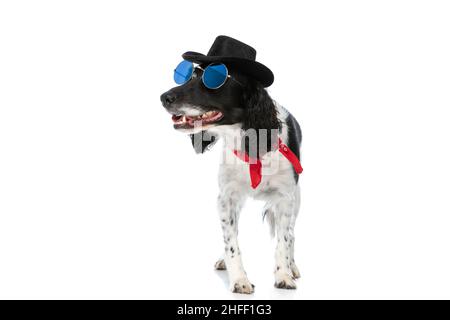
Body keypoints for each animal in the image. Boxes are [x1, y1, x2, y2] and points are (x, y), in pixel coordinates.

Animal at [159, 36, 302, 294]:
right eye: (189, 75)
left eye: (214, 79)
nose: (164, 97)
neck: (250, 143)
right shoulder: (227, 198)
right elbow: (231, 241)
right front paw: (239, 279)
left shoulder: (285, 198)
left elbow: (283, 241)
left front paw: (284, 274)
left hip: (297, 199)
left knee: (291, 234)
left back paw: (293, 266)